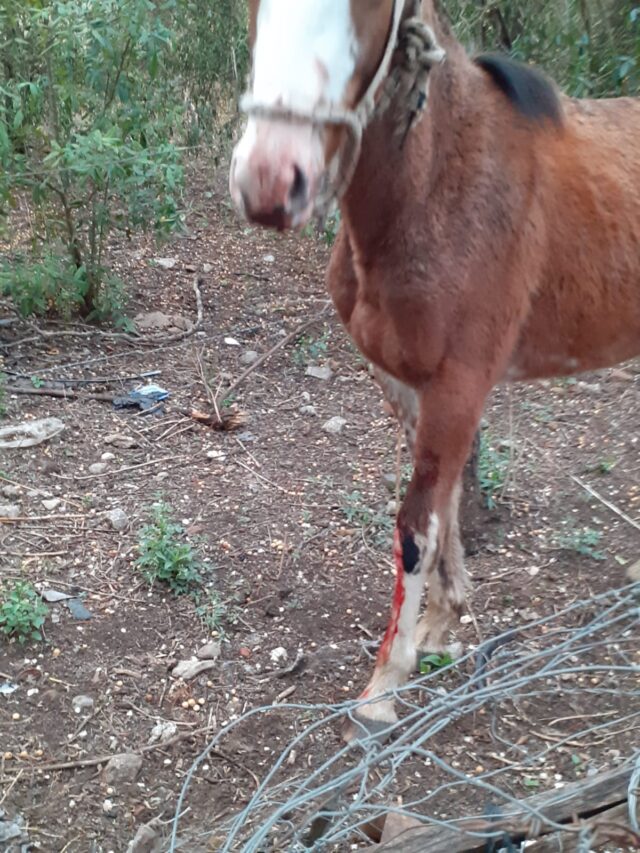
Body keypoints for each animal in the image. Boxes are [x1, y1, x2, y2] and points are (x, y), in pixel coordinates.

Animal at [229, 0, 640, 738]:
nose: (272, 179)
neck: (441, 190)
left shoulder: (458, 386)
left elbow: (417, 526)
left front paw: (384, 686)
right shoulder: (410, 387)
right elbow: (445, 508)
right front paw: (440, 628)